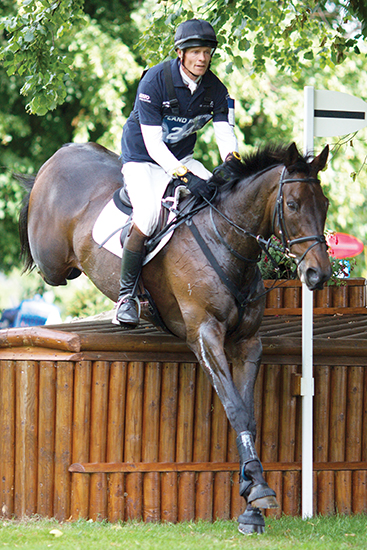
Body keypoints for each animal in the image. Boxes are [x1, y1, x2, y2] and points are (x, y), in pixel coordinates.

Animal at [18, 141, 332, 536]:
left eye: (325, 204)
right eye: (291, 205)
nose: (319, 273)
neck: (226, 240)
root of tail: (63, 152)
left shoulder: (247, 343)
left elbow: (248, 415)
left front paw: (252, 499)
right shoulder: (204, 335)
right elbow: (235, 408)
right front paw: (258, 490)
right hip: (54, 262)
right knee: (51, 267)